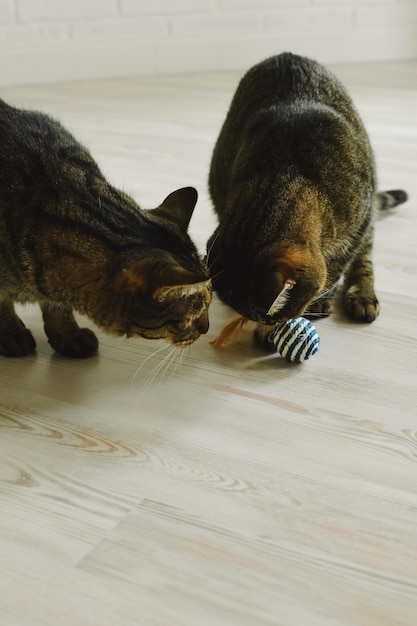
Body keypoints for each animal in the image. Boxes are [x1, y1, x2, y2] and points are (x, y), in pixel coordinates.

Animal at [0, 100, 210, 358]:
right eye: (195, 313)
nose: (206, 328)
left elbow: (58, 307)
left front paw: (68, 334)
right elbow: (3, 306)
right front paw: (12, 333)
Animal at [207, 51, 406, 348]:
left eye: (277, 316)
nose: (270, 326)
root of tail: (286, 54)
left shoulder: (359, 222)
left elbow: (337, 267)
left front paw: (321, 300)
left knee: (364, 256)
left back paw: (362, 296)